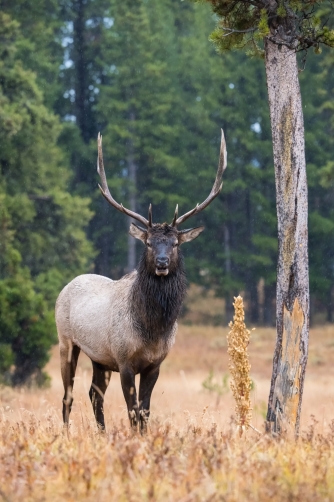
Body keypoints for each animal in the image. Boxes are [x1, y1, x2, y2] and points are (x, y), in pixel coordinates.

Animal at [56, 131, 227, 434]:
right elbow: (132, 411)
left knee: (94, 394)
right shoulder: (124, 360)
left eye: (174, 244)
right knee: (68, 394)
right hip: (66, 340)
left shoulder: (154, 364)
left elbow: (145, 412)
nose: (162, 262)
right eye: (148, 242)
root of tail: (67, 286)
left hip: (99, 358)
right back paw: (65, 435)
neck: (152, 329)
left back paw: (102, 434)